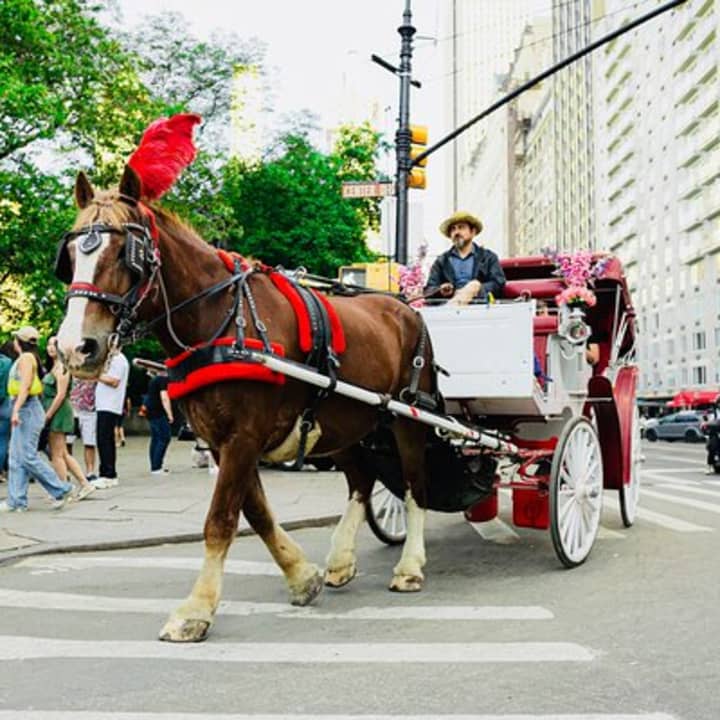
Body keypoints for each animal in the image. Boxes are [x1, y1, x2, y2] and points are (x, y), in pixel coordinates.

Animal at [54, 167, 434, 640]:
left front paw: (196, 610)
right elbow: (256, 512)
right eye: (71, 254)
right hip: (341, 424)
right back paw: (341, 560)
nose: (75, 347)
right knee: (363, 482)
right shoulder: (223, 441)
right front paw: (301, 576)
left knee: (415, 485)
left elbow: (221, 519)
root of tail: (407, 308)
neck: (221, 320)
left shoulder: (244, 436)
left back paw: (410, 565)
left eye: (128, 253)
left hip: (409, 417)